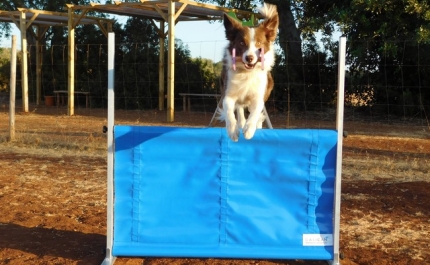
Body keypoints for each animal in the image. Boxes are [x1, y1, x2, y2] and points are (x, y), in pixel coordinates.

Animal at [218, 3, 278, 140]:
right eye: (241, 43)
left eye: (259, 43)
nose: (249, 58)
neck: (246, 73)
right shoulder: (228, 94)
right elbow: (229, 110)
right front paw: (232, 130)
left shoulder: (259, 96)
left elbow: (256, 111)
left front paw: (249, 129)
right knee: (239, 108)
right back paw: (241, 122)